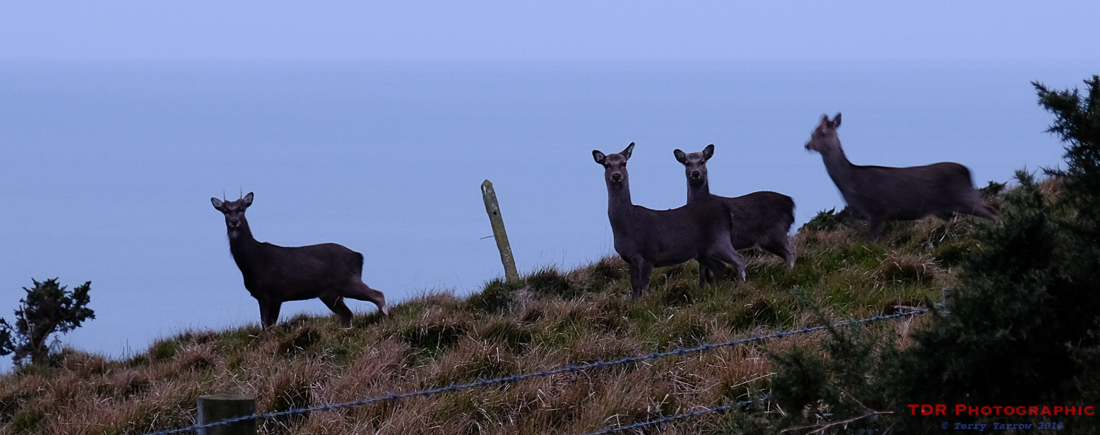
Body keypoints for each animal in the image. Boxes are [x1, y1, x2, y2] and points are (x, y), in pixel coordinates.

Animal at [211, 192, 388, 329]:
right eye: (225, 211)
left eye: (242, 209)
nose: (234, 221)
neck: (253, 263)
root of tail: (359, 256)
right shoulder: (263, 296)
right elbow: (265, 326)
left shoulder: (273, 293)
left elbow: (268, 327)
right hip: (329, 293)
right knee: (347, 314)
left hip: (345, 280)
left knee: (378, 294)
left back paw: (385, 319)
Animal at [593, 142, 746, 300]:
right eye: (606, 165)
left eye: (624, 163)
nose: (616, 175)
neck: (625, 227)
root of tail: (727, 211)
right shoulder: (630, 259)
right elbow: (635, 290)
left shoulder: (649, 254)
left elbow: (644, 289)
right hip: (703, 251)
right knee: (720, 266)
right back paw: (717, 291)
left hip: (719, 239)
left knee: (738, 259)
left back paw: (740, 289)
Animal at [673, 144, 796, 272]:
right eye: (687, 163)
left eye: (702, 161)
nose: (695, 173)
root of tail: (791, 203)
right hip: (767, 240)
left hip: (777, 230)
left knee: (791, 249)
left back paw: (789, 272)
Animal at [805, 113, 998, 239]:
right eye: (812, 132)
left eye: (822, 133)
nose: (807, 145)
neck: (849, 184)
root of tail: (968, 172)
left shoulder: (877, 210)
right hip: (947, 208)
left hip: (965, 197)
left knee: (993, 212)